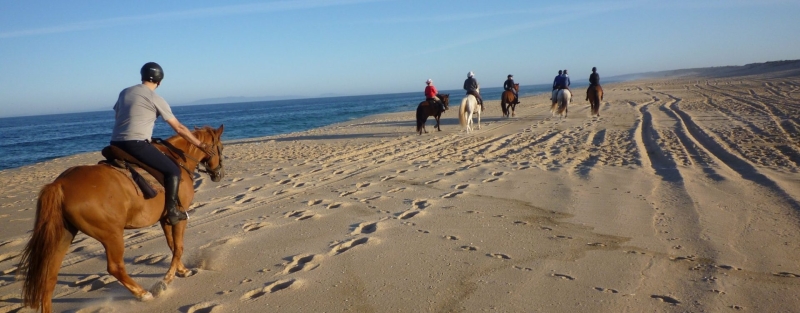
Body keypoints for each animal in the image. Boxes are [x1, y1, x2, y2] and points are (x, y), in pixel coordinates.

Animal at [16, 125, 228, 312]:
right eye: (222, 147)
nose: (219, 174)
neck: (178, 160)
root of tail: (60, 184)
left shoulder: (166, 219)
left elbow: (172, 245)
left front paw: (181, 271)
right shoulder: (179, 217)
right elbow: (179, 247)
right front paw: (167, 279)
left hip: (64, 235)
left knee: (48, 278)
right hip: (112, 235)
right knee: (115, 267)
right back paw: (143, 294)